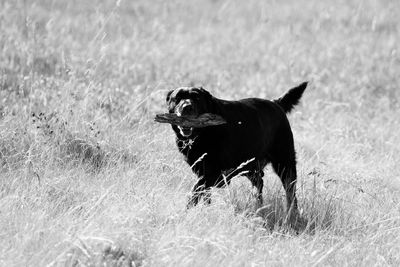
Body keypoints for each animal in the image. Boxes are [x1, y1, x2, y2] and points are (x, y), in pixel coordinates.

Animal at [165, 82, 306, 218]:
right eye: (177, 98)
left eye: (197, 98)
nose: (187, 107)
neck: (203, 134)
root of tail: (276, 103)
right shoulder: (203, 171)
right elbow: (204, 195)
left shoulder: (212, 173)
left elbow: (194, 191)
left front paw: (186, 212)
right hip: (250, 165)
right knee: (259, 183)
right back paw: (257, 207)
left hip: (284, 163)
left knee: (290, 190)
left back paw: (292, 213)